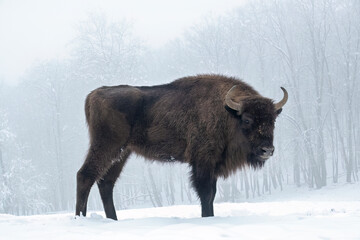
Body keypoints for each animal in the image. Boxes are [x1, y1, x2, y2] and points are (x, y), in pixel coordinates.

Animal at [75, 75, 286, 219]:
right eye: (248, 119)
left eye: (272, 120)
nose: (267, 150)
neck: (228, 113)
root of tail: (94, 94)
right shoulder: (203, 162)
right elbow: (206, 193)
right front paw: (207, 217)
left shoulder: (212, 165)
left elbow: (212, 194)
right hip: (106, 146)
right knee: (85, 175)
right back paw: (80, 218)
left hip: (122, 152)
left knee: (106, 183)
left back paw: (112, 220)